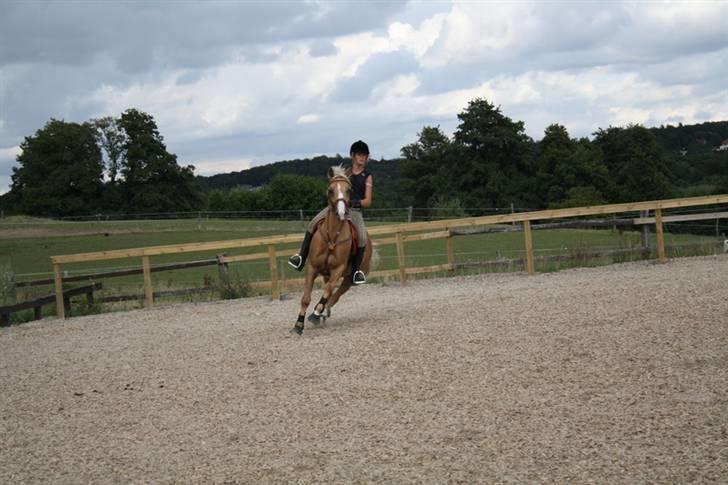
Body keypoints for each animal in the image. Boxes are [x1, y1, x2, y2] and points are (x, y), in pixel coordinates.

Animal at [290, 165, 372, 332]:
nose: (341, 212)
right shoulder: (312, 267)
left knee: (335, 295)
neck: (332, 237)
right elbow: (306, 298)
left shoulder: (338, 269)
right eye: (330, 190)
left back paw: (320, 313)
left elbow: (328, 291)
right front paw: (299, 324)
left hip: (348, 279)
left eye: (349, 190)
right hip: (326, 274)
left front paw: (316, 313)